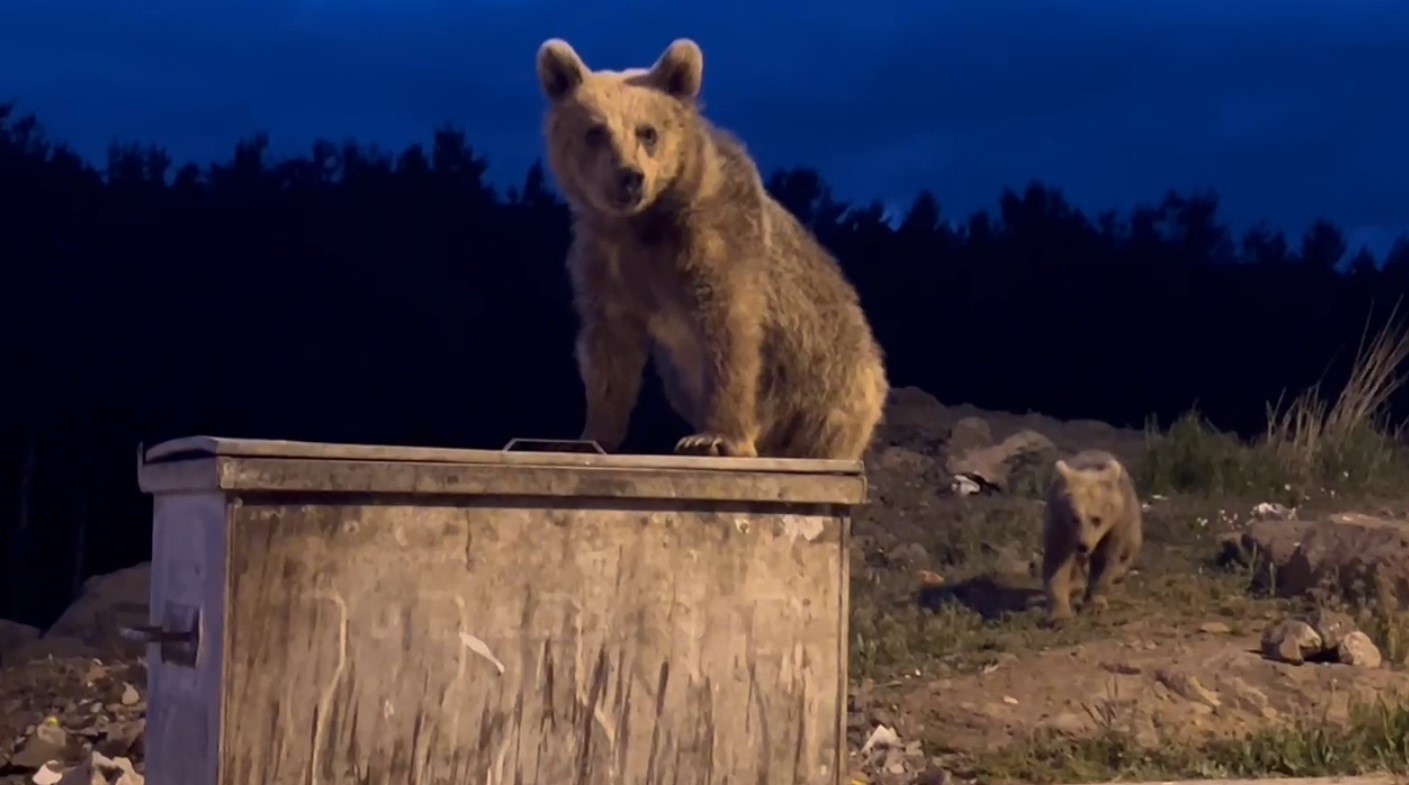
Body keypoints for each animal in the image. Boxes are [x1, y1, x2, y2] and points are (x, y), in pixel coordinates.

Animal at [532, 38, 884, 459]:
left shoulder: (717, 243)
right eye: (595, 131)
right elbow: (609, 350)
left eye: (648, 132)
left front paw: (715, 437)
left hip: (831, 381)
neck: (645, 224)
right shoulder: (606, 263)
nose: (630, 177)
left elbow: (728, 333)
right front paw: (590, 434)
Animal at [1037, 450, 1144, 620]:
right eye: (1075, 518)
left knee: (1128, 550)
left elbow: (1105, 561)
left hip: (1132, 522)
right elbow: (1057, 560)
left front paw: (1095, 603)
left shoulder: (1114, 526)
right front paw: (1059, 614)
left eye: (1096, 519)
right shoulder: (1060, 524)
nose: (1083, 545)